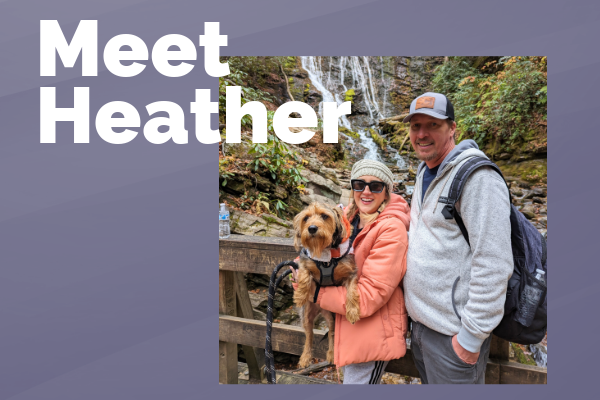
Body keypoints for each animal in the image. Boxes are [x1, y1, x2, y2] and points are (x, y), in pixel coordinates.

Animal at [292, 203, 358, 368]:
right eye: (306, 218)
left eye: (324, 216)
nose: (312, 228)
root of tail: (320, 309)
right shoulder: (304, 261)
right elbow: (304, 275)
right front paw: (300, 295)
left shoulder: (350, 272)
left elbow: (352, 291)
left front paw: (353, 312)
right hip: (306, 314)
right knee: (309, 335)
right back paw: (305, 357)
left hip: (331, 317)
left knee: (332, 333)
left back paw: (331, 354)